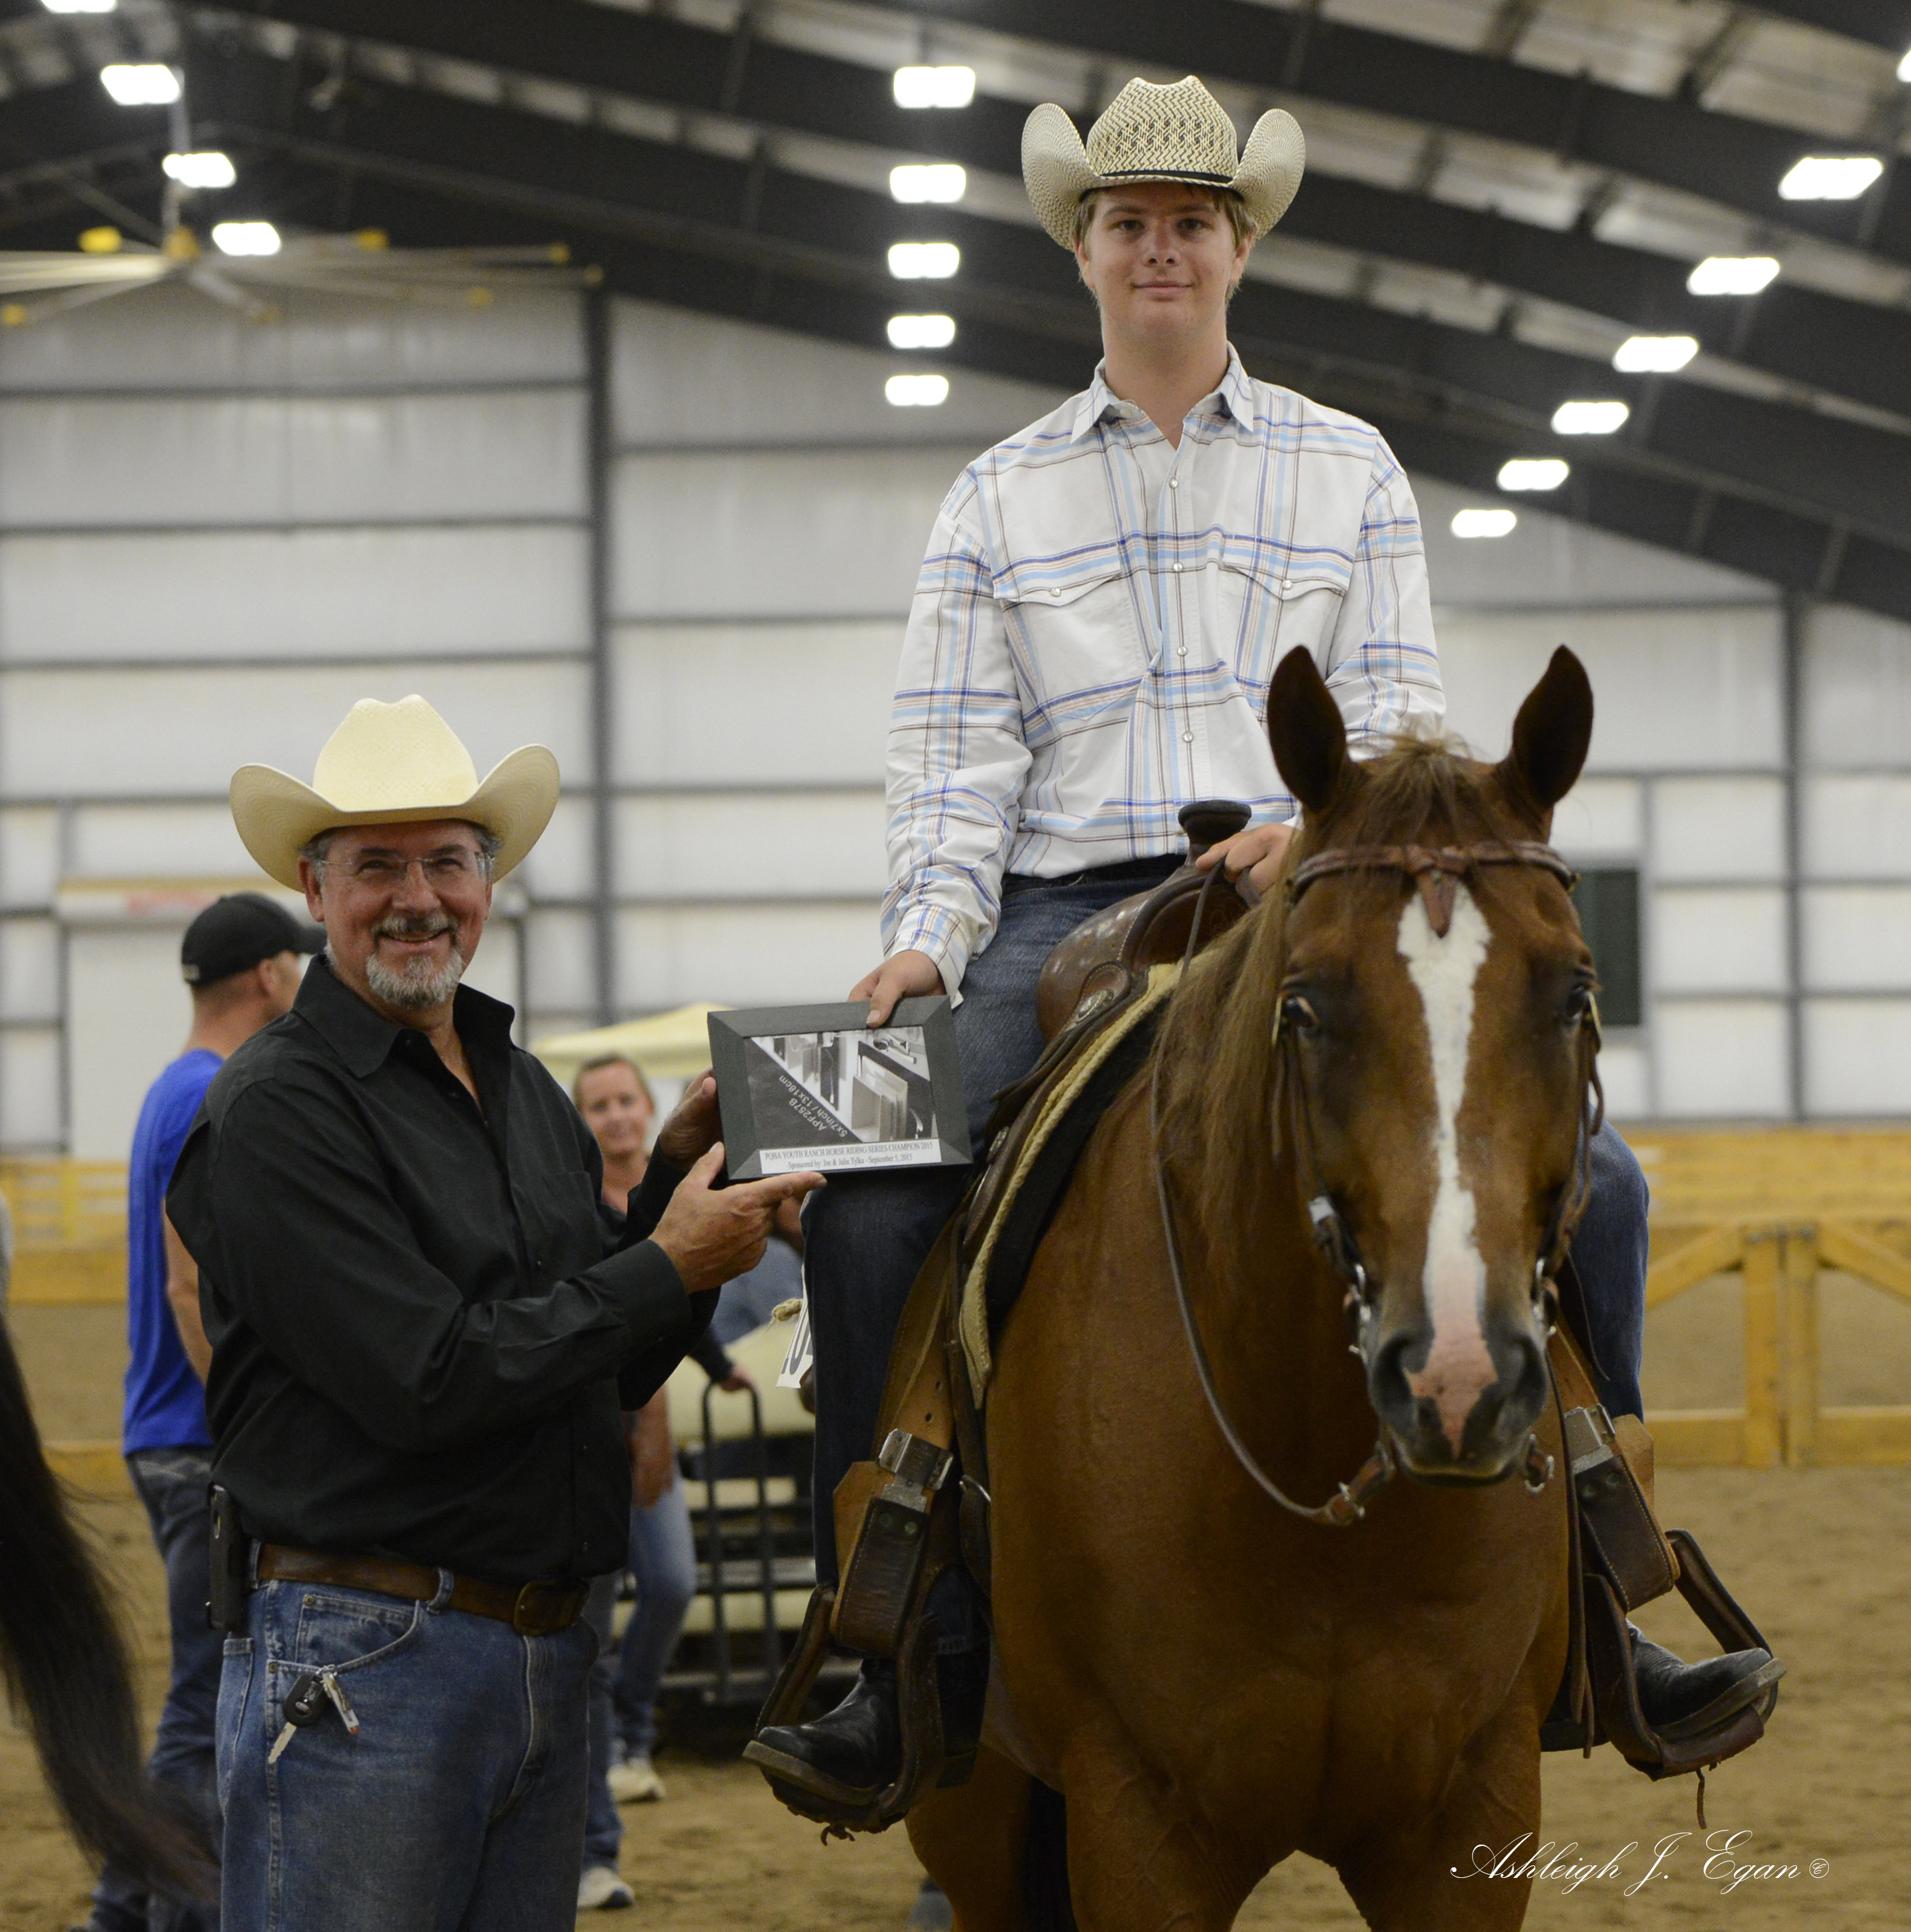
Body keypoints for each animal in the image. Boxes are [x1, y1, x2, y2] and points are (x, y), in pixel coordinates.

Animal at [915, 649, 1599, 1932]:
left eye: (1574, 994)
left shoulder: (1472, 1812)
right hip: (973, 1807)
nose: (1457, 1381)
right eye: (1305, 1004)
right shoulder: (1134, 1825)